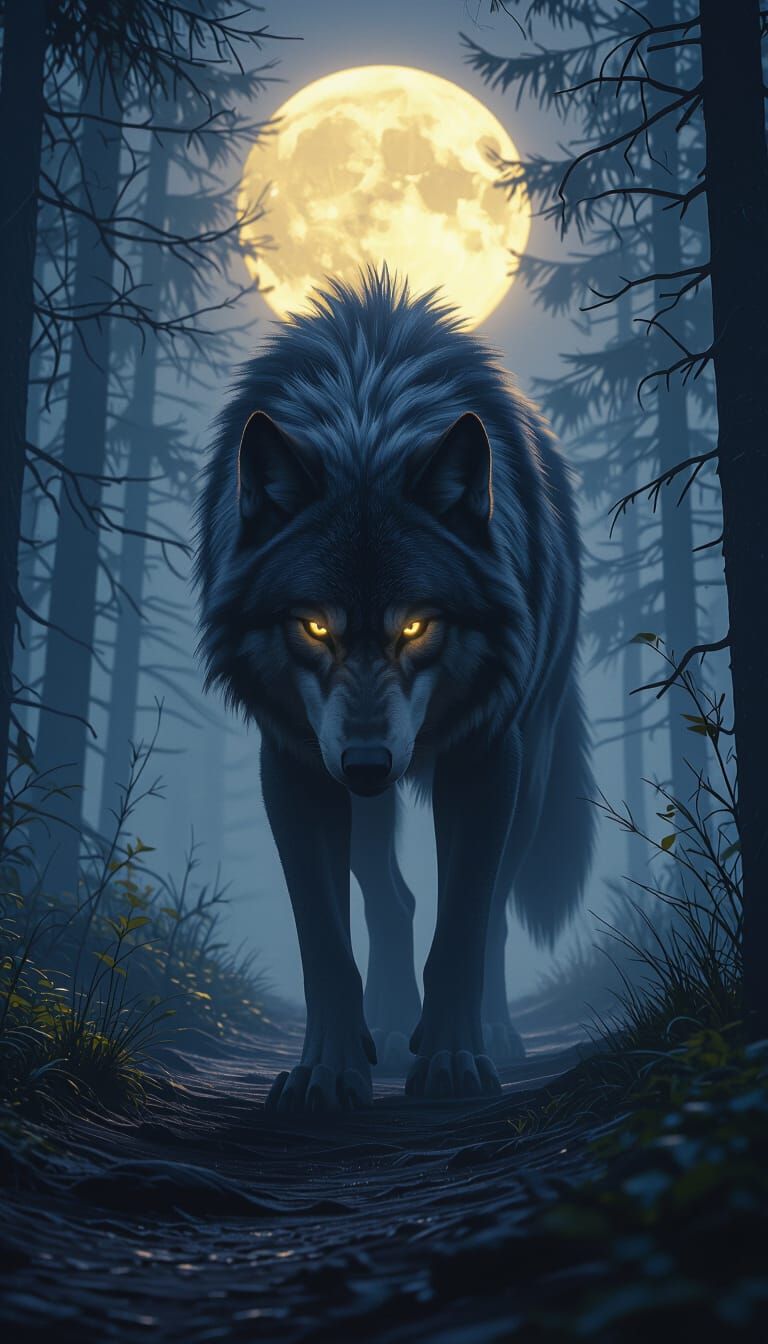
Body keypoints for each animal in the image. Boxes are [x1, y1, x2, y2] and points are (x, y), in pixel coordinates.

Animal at [197, 268, 594, 1113]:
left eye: (417, 626)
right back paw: (384, 1021)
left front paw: (452, 1060)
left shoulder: (486, 755)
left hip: (532, 760)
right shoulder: (295, 762)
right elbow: (324, 937)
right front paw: (327, 1071)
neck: (365, 422)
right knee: (393, 899)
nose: (371, 765)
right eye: (314, 626)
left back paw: (494, 1031)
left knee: (494, 911)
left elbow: (467, 921)